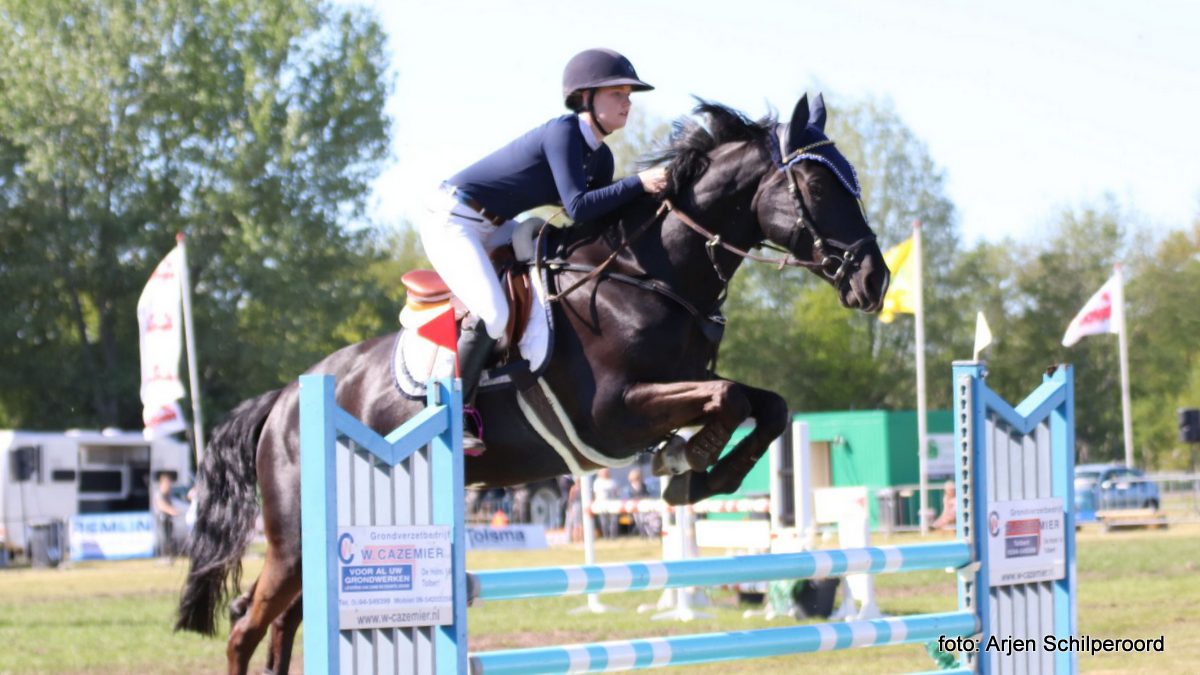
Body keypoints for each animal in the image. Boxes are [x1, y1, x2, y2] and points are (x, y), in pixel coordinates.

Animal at [177, 91, 892, 667]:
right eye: (819, 189)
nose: (875, 280)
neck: (648, 275)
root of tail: (287, 397)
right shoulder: (615, 415)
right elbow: (731, 397)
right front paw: (688, 466)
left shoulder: (676, 391)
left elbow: (768, 405)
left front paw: (698, 473)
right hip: (295, 537)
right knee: (245, 626)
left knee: (281, 623)